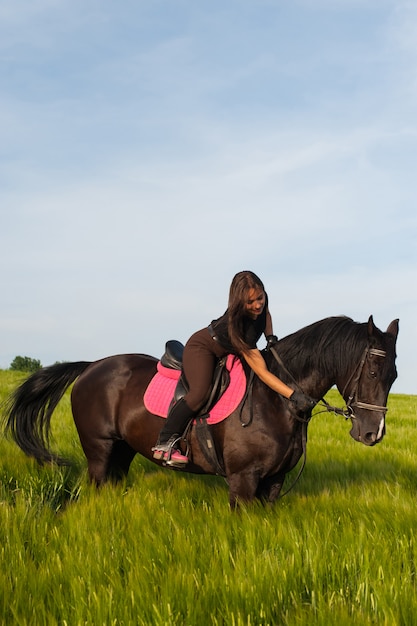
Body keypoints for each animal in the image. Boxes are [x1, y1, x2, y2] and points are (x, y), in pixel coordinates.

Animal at [2, 312, 396, 508]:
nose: (372, 434)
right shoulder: (242, 481)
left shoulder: (274, 482)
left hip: (123, 451)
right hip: (98, 450)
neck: (276, 398)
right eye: (372, 372)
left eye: (394, 375)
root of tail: (90, 366)